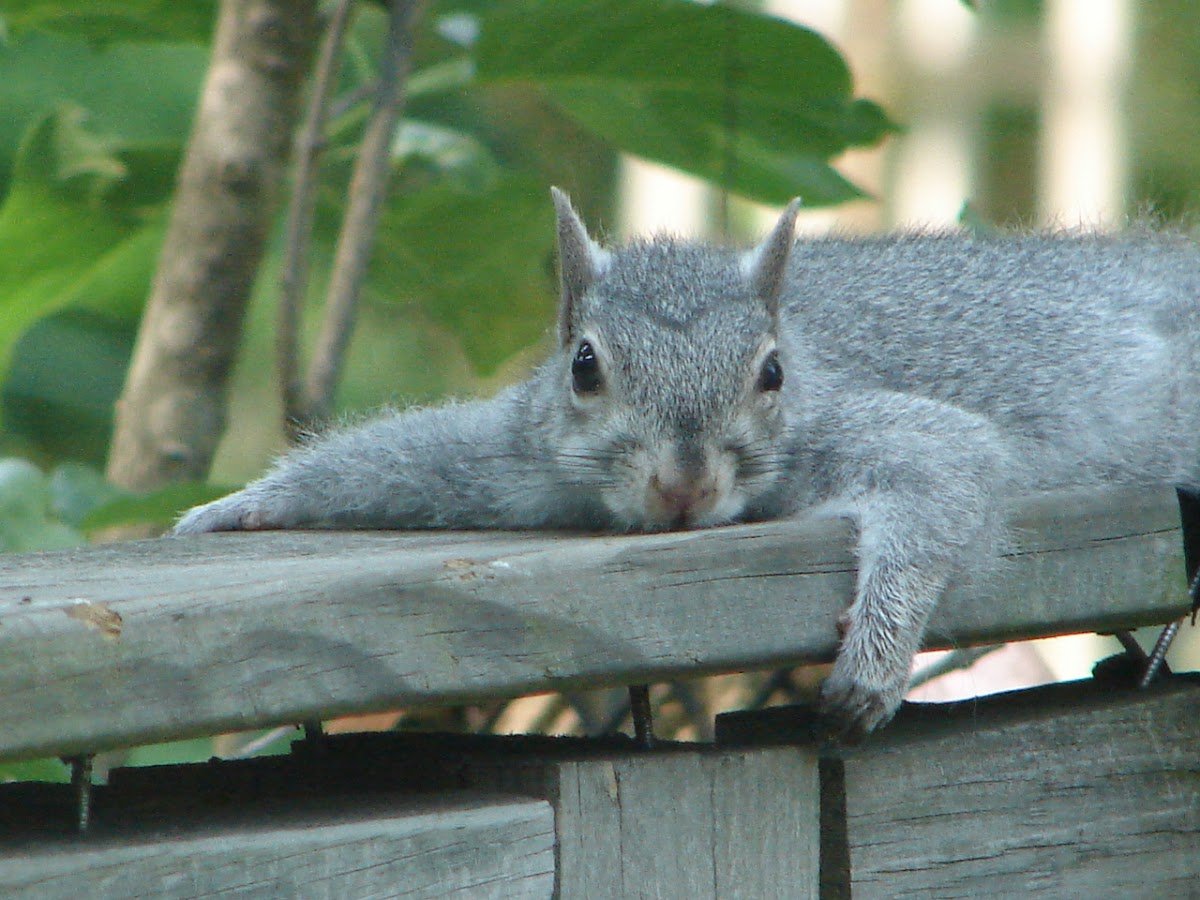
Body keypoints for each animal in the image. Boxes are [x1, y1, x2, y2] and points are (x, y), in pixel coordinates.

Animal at [171, 190, 1200, 739]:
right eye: (584, 366)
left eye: (772, 373)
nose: (685, 486)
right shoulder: (512, 458)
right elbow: (390, 460)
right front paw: (237, 509)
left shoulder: (857, 430)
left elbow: (946, 470)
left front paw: (877, 653)